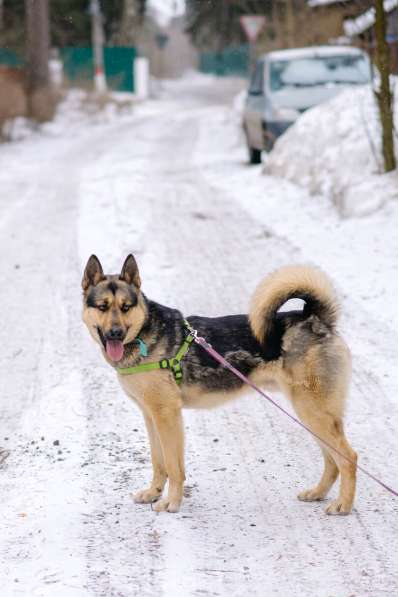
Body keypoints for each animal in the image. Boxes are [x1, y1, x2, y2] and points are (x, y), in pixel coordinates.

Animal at [82, 254, 356, 516]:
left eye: (125, 307)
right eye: (102, 306)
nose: (115, 333)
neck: (143, 334)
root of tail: (316, 320)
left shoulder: (167, 416)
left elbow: (173, 466)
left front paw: (171, 502)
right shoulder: (151, 416)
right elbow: (158, 463)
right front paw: (153, 494)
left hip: (312, 412)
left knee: (348, 457)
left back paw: (343, 505)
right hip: (312, 416)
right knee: (332, 461)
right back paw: (317, 493)